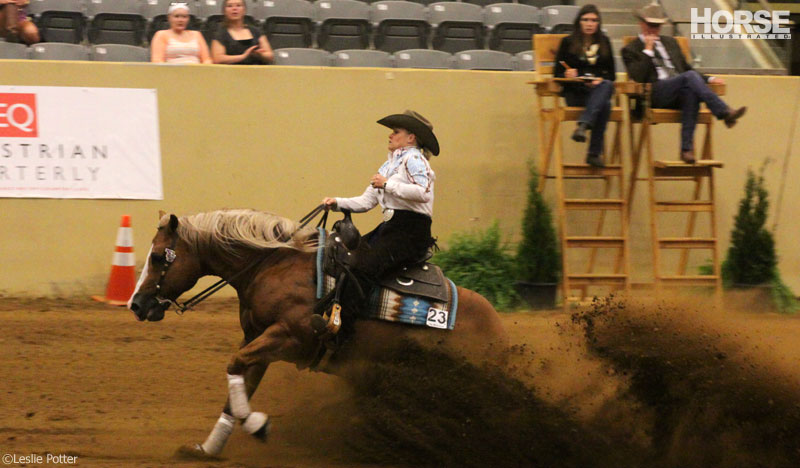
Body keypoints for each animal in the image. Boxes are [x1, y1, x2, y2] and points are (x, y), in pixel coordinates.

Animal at [127, 210, 504, 458]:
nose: (136, 304)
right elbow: (239, 383)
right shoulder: (258, 341)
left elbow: (234, 365)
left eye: (158, 256)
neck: (273, 266)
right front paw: (208, 448)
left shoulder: (289, 337)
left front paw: (258, 425)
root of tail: (495, 324)